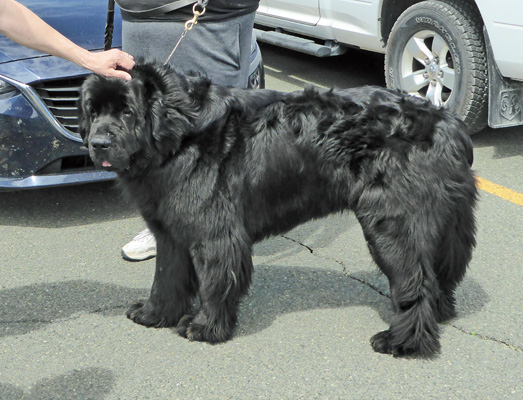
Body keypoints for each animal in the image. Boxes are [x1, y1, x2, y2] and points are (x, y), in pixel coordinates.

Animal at [79, 60, 478, 356]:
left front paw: (205, 327)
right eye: (92, 111)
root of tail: (450, 124)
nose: (97, 143)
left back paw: (403, 341)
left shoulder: (215, 233)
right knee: (438, 273)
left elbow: (214, 280)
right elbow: (167, 277)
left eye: (127, 112)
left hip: (391, 222)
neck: (179, 134)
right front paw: (154, 314)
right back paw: (437, 316)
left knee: (416, 280)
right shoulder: (170, 231)